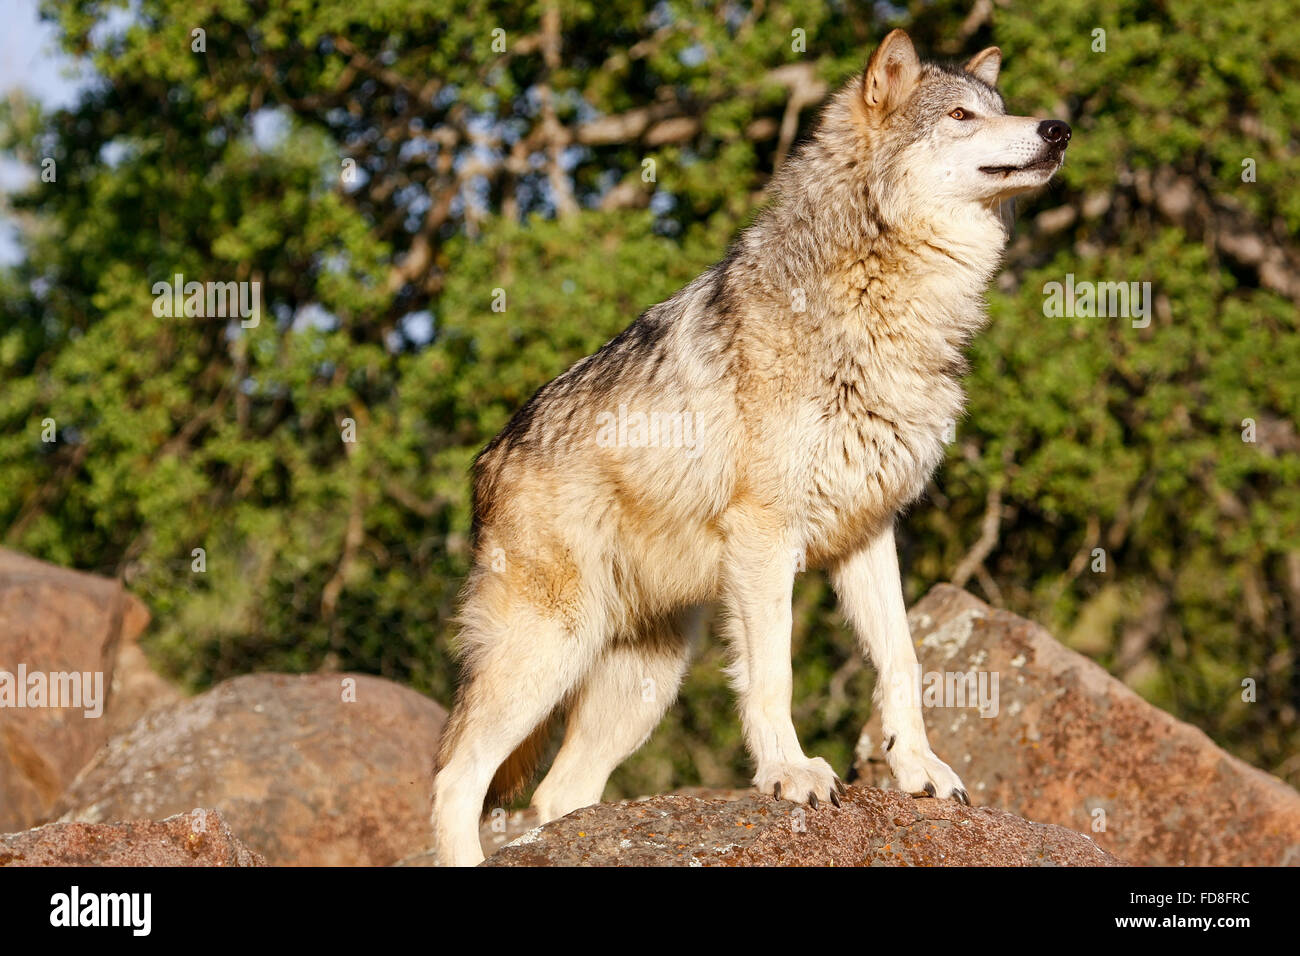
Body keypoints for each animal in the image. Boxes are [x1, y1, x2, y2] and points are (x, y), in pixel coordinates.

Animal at [431, 29, 1071, 868]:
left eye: (1002, 107)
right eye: (962, 116)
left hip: (643, 683)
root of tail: (485, 465)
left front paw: (919, 770)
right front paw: (792, 775)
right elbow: (776, 674)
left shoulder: (869, 533)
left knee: (557, 794)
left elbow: (903, 660)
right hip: (547, 653)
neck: (882, 297)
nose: (1058, 128)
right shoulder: (768, 537)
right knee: (454, 778)